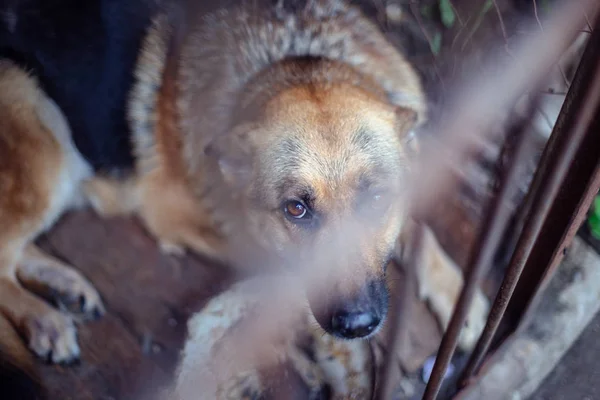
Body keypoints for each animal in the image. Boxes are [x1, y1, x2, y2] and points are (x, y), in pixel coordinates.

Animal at [0, 0, 488, 382]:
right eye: (295, 209)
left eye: (377, 200)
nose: (356, 325)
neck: (293, 55)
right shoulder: (172, 214)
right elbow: (278, 267)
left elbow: (421, 229)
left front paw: (458, 299)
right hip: (48, 139)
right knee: (5, 252)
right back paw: (43, 317)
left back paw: (65, 286)